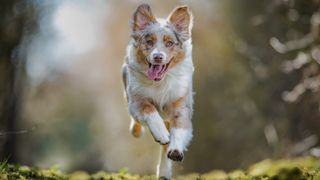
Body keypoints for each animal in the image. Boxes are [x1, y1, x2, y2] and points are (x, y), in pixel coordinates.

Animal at [121, 3, 194, 179]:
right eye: (149, 42)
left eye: (169, 43)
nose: (158, 57)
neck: (160, 83)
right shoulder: (136, 100)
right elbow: (149, 109)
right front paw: (160, 132)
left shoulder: (181, 104)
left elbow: (180, 127)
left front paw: (176, 149)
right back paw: (137, 131)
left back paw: (164, 171)